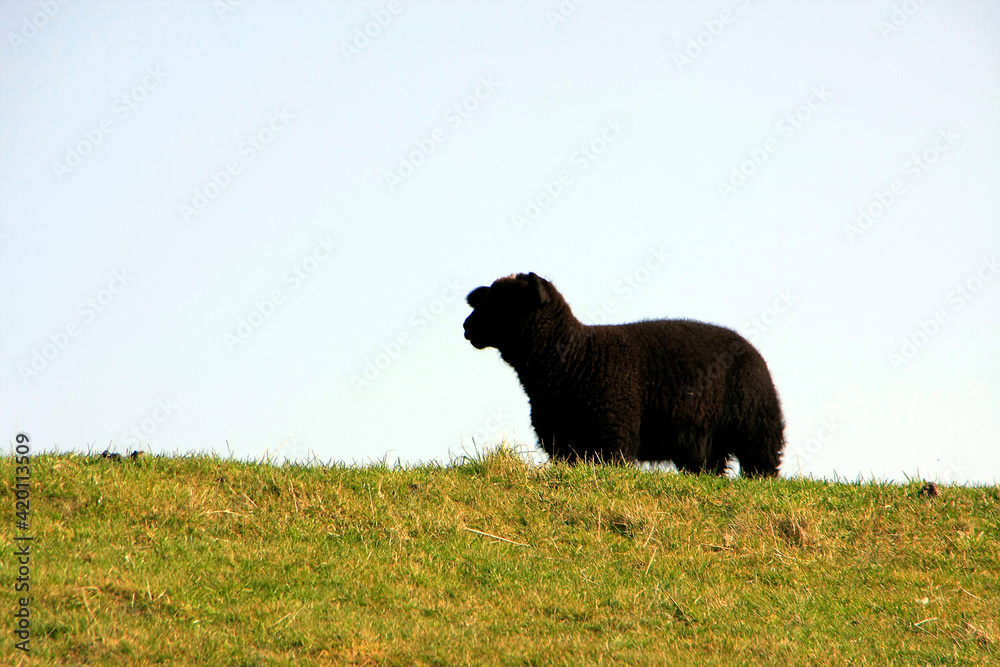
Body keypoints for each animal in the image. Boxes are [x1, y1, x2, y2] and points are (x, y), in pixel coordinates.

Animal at [463, 272, 784, 477]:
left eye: (508, 301)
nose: (467, 326)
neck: (575, 361)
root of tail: (750, 347)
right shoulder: (564, 444)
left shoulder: (611, 439)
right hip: (706, 442)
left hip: (756, 428)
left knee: (762, 466)